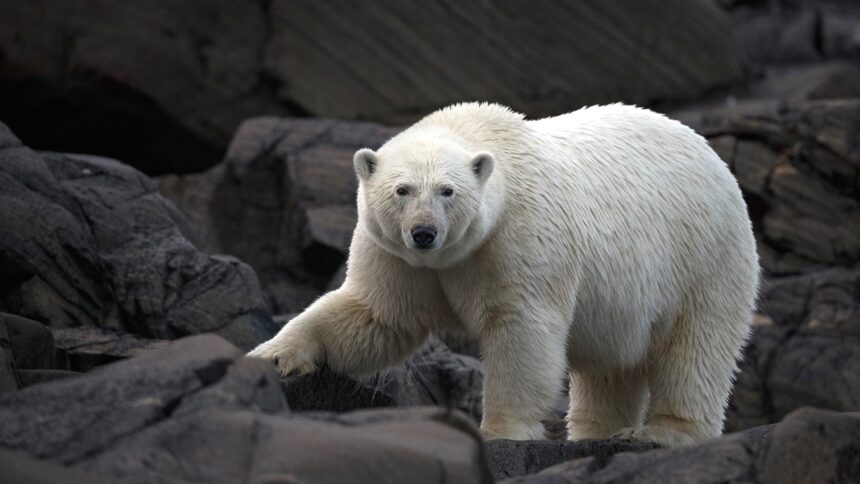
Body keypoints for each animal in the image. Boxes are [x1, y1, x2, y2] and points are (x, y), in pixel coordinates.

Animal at [248, 102, 759, 446]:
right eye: (402, 189)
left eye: (447, 191)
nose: (424, 233)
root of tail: (712, 155)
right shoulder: (396, 254)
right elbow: (375, 315)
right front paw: (273, 355)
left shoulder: (518, 234)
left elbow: (521, 328)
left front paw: (501, 431)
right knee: (610, 366)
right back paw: (595, 432)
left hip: (703, 255)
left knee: (696, 345)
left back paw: (663, 432)